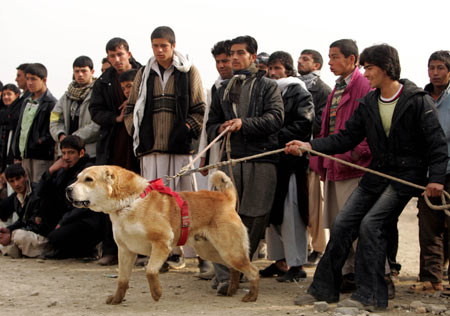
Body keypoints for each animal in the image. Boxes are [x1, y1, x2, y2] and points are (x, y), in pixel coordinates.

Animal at [65, 165, 258, 304]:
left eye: (88, 179)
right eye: (77, 178)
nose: (67, 189)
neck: (130, 204)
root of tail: (226, 199)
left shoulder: (162, 243)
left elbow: (150, 270)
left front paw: (156, 292)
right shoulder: (125, 251)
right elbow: (122, 280)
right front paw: (117, 299)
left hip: (230, 251)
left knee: (253, 270)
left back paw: (251, 296)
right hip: (212, 251)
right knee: (234, 269)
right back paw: (231, 290)